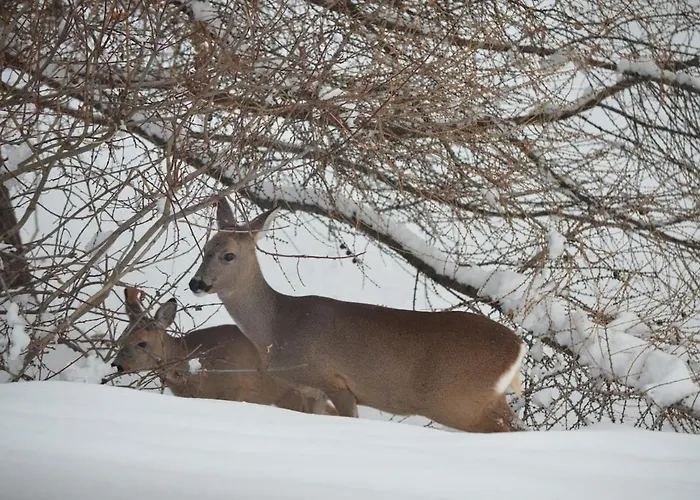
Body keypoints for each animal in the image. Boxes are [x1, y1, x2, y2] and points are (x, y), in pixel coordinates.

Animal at [188, 200, 528, 432]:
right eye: (204, 248)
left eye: (229, 255)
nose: (196, 283)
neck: (278, 326)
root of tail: (518, 346)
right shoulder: (309, 389)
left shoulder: (334, 381)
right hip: (489, 399)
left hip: (457, 402)